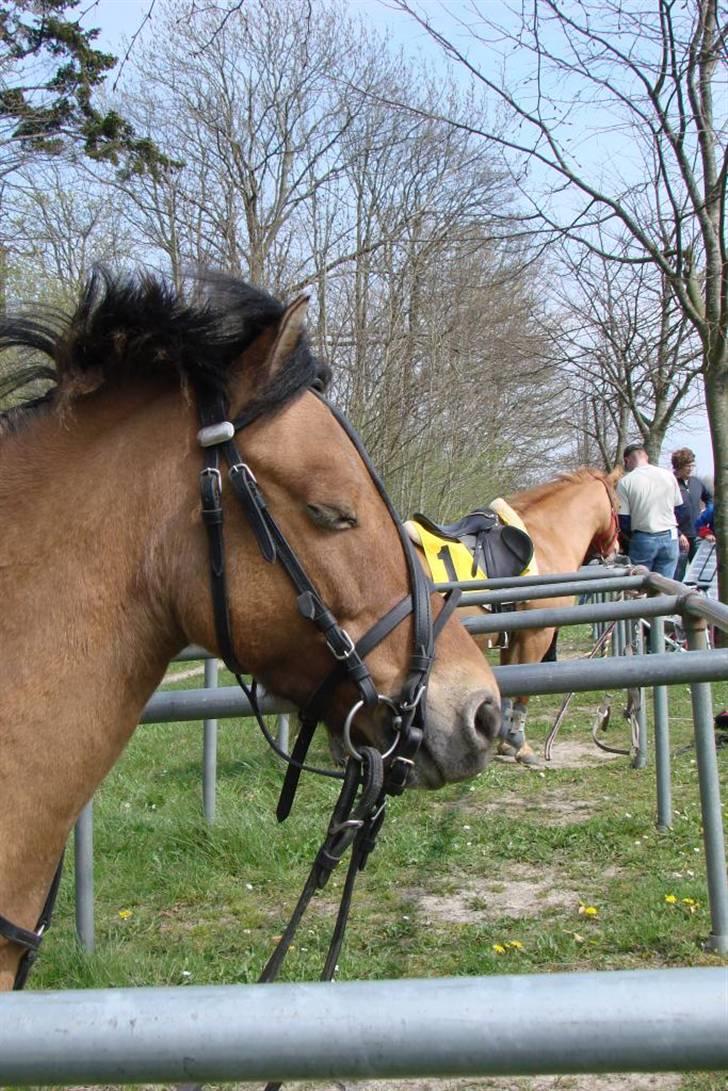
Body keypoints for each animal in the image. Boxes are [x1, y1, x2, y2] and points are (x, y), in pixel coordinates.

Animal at [410, 469, 619, 768]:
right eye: (619, 505)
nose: (616, 548)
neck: (546, 539)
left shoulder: (512, 634)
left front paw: (505, 740)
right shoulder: (537, 635)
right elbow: (526, 691)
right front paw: (520, 745)